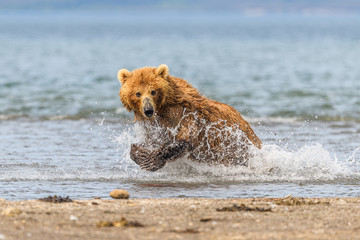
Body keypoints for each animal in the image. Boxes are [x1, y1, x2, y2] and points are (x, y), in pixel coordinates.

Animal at [118, 64, 262, 172]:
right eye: (138, 93)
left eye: (153, 91)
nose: (148, 110)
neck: (163, 108)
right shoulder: (153, 126)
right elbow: (150, 141)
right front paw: (139, 151)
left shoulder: (183, 115)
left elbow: (184, 138)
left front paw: (150, 160)